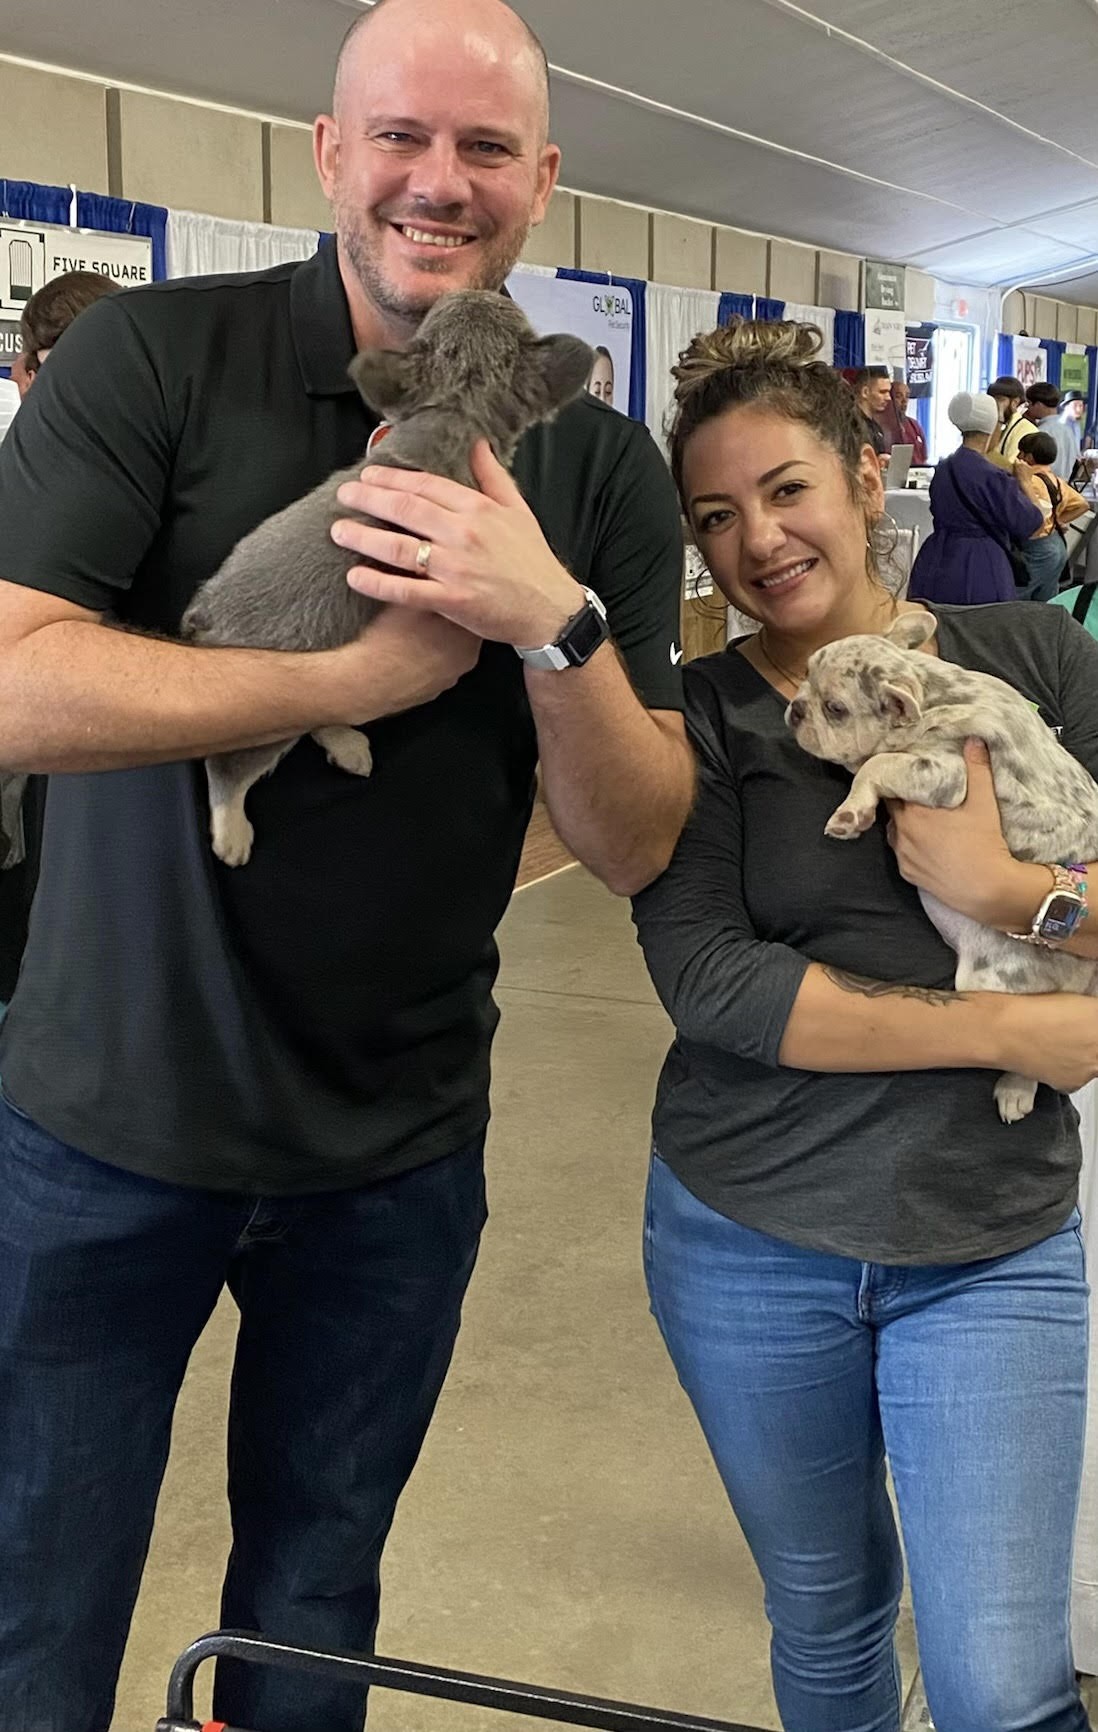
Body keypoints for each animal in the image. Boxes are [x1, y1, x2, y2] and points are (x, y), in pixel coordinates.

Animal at [179, 294, 588, 879]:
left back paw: (347, 747)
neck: (455, 406)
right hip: (267, 716)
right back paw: (232, 833)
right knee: (228, 771)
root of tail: (202, 617)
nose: (477, 293)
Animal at [782, 609, 1094, 1122]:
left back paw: (1014, 1092)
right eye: (804, 674)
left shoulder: (944, 774)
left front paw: (851, 813)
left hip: (996, 981)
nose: (796, 707)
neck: (928, 690)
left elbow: (877, 764)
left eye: (835, 708)